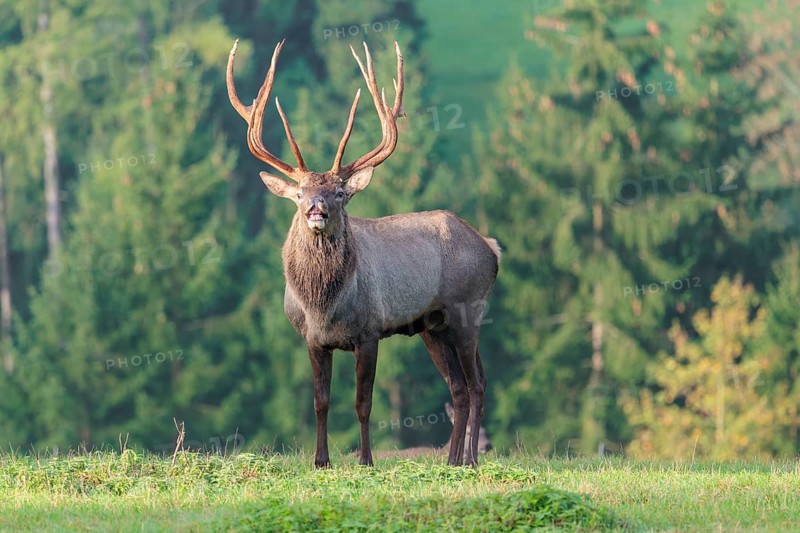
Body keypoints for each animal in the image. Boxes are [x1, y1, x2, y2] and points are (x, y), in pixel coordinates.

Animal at [226, 38, 500, 468]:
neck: (323, 305)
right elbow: (320, 401)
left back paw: (471, 459)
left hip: (467, 308)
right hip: (432, 325)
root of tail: (491, 248)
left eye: (339, 192)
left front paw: (366, 460)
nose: (316, 209)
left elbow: (363, 403)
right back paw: (452, 459)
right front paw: (320, 461)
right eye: (299, 193)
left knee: (477, 384)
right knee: (457, 386)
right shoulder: (312, 340)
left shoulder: (369, 332)